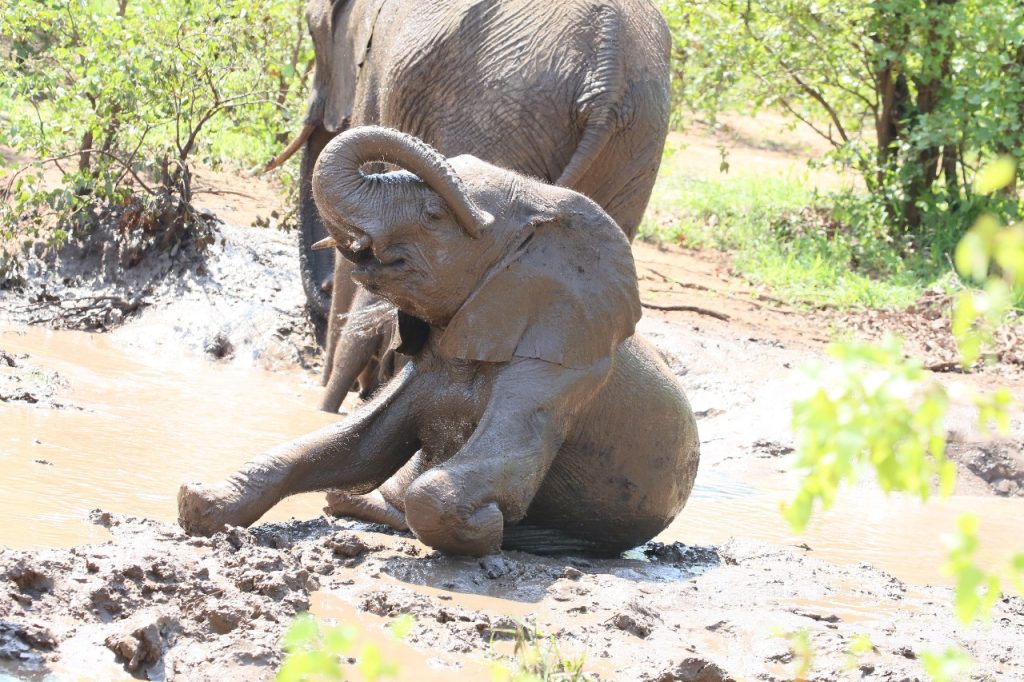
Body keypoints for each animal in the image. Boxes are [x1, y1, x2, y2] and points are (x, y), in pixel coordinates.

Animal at [179, 127, 700, 557]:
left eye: (433, 217)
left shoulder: (564, 369)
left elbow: (455, 484)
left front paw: (489, 532)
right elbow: (360, 445)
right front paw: (199, 500)